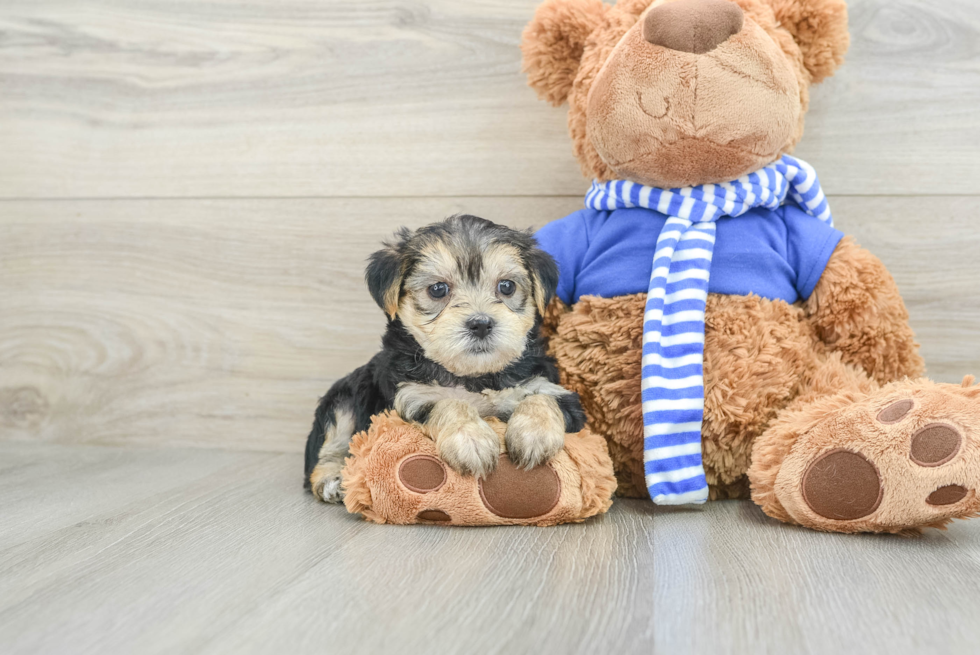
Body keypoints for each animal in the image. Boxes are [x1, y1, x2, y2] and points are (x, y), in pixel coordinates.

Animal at [302, 215, 584, 502]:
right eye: (438, 289)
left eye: (507, 286)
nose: (481, 324)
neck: (474, 376)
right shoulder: (413, 397)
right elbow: (449, 403)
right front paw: (471, 440)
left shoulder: (551, 388)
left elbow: (543, 398)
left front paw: (534, 435)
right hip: (342, 399)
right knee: (332, 442)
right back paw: (332, 479)